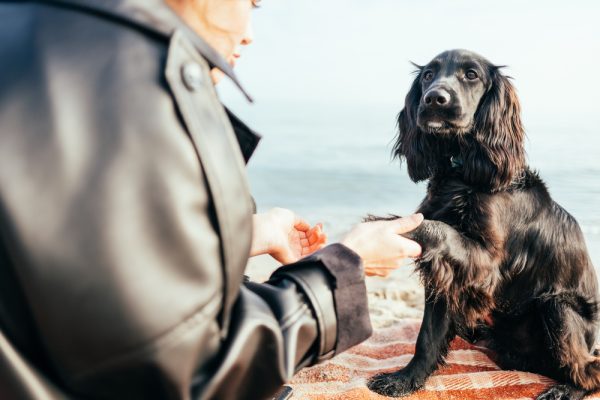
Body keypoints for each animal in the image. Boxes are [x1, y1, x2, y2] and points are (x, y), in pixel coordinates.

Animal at [366, 50, 600, 400]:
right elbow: (428, 336)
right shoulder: (446, 274)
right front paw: (406, 380)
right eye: (428, 75)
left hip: (558, 306)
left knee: (588, 369)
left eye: (471, 75)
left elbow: (439, 228)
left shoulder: (486, 263)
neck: (461, 173)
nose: (434, 98)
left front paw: (387, 224)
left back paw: (564, 390)